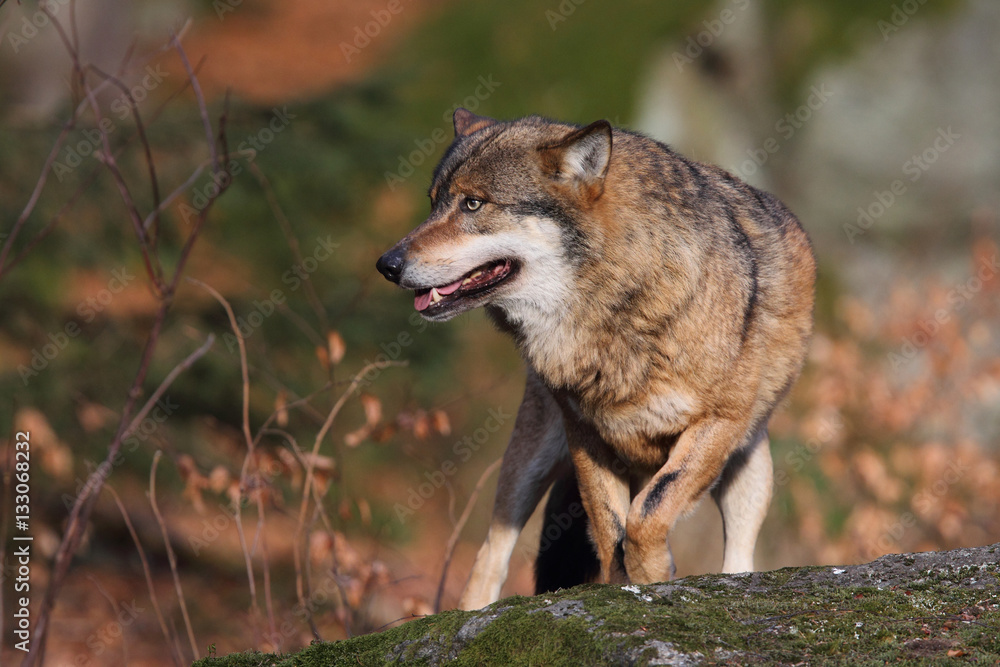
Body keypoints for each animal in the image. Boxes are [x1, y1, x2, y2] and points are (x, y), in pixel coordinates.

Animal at [376, 109, 815, 610]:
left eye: (472, 204)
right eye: (433, 204)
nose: (387, 265)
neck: (611, 311)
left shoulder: (718, 424)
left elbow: (648, 514)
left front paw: (652, 575)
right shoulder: (585, 435)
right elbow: (610, 530)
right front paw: (625, 582)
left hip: (749, 464)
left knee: (738, 555)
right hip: (530, 459)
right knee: (491, 551)